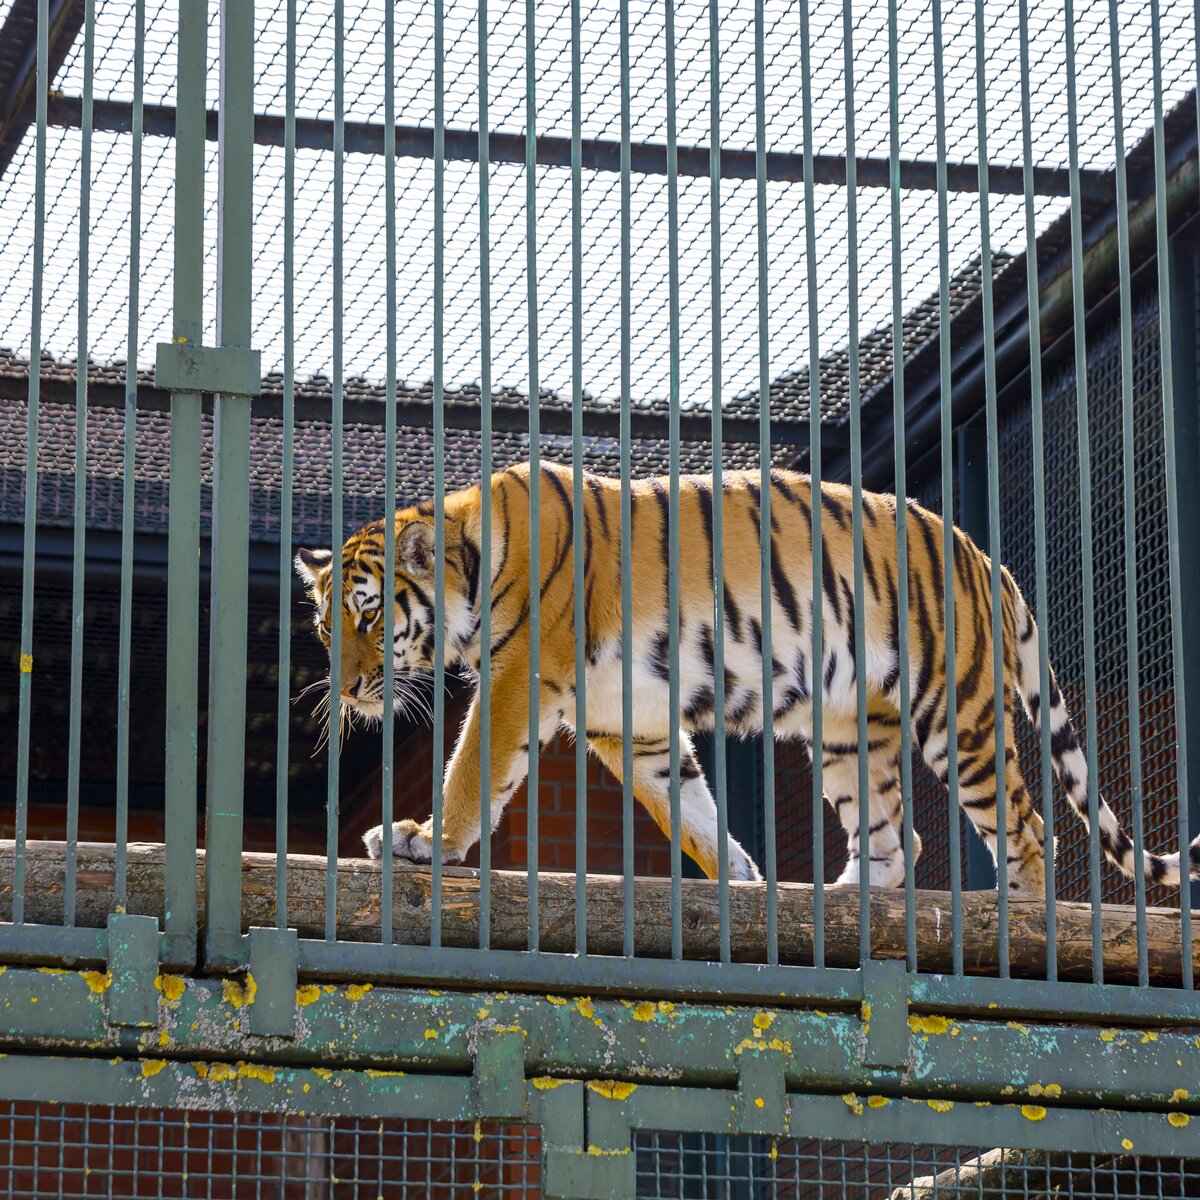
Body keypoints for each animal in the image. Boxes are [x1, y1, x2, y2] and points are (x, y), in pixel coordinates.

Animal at [292, 463, 1200, 897]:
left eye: (368, 618)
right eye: (326, 628)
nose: (351, 689)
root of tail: (988, 560)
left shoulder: (521, 678)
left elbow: (473, 770)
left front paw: (422, 842)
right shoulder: (633, 724)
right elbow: (689, 811)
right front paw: (739, 881)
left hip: (960, 711)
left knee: (1029, 830)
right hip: (846, 733)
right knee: (893, 838)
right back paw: (835, 900)